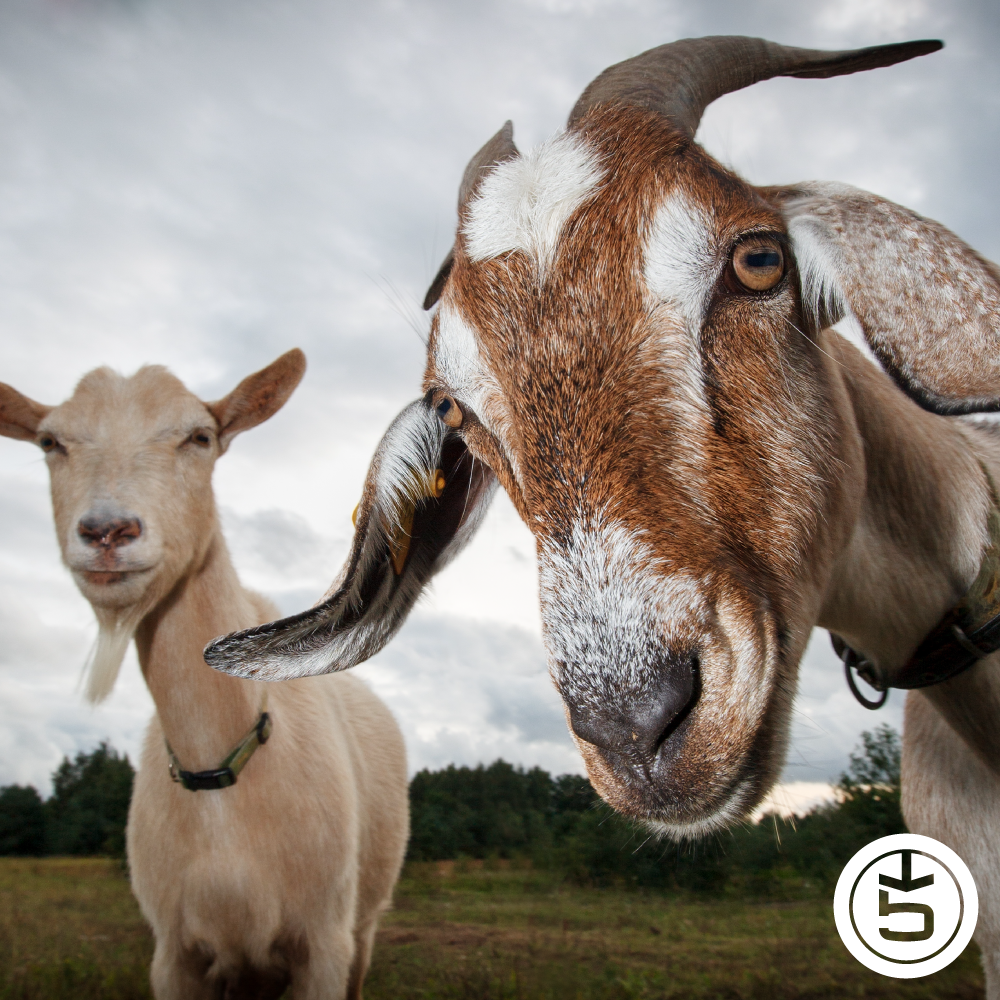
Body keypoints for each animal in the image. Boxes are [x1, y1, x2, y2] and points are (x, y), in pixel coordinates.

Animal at [0, 351, 408, 999]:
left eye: (200, 437)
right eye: (49, 442)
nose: (107, 531)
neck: (220, 768)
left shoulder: (323, 945)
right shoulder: (174, 955)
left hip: (364, 925)